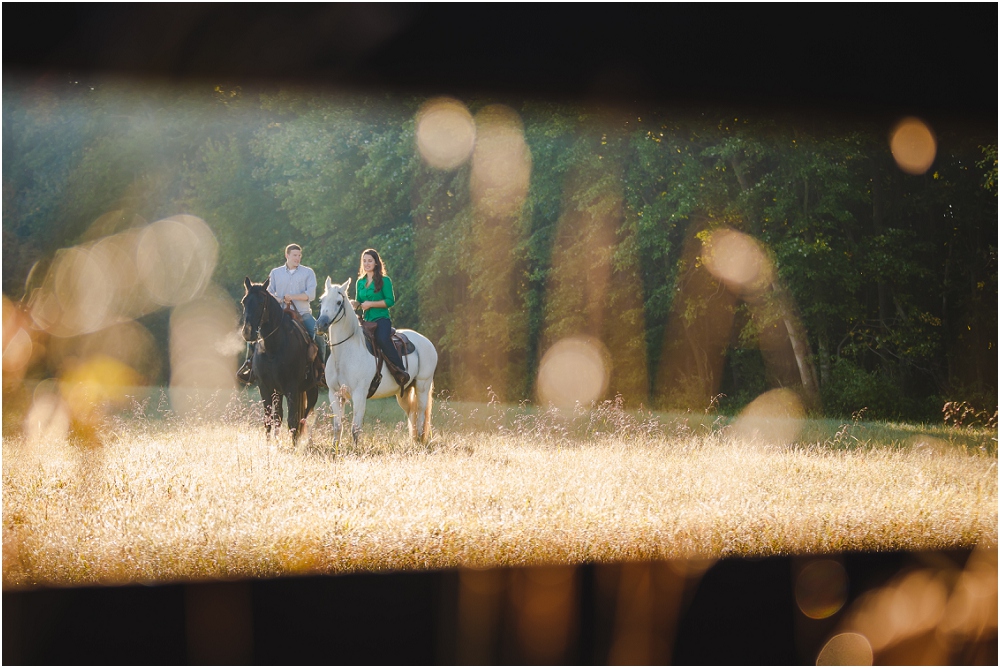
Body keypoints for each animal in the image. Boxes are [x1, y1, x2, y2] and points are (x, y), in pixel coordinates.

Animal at [240, 276, 318, 448]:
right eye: (244, 301)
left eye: (261, 301)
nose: (247, 332)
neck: (273, 349)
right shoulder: (265, 387)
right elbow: (269, 419)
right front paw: (270, 445)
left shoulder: (291, 387)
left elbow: (293, 420)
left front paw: (294, 447)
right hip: (279, 391)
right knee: (279, 417)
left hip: (311, 389)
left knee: (304, 416)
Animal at [314, 274, 436, 446]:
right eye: (321, 300)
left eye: (338, 302)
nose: (321, 325)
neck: (345, 354)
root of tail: (427, 342)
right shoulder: (335, 394)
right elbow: (337, 427)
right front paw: (335, 448)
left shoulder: (359, 394)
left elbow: (355, 428)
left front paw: (355, 449)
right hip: (404, 393)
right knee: (412, 414)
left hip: (422, 386)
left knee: (420, 415)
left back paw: (419, 442)